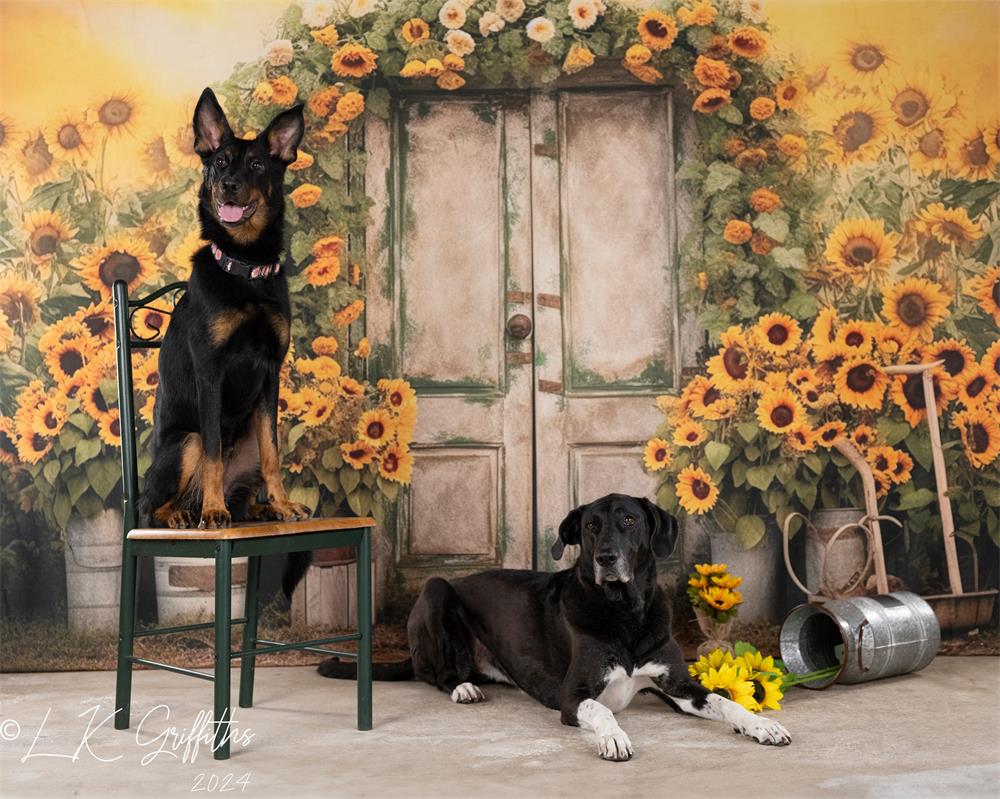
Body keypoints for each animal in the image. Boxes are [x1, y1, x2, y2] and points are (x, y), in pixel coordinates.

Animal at [141, 89, 310, 532]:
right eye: (219, 162)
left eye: (256, 165)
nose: (228, 185)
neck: (245, 267)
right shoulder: (210, 372)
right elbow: (214, 454)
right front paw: (213, 511)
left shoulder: (270, 372)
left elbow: (273, 453)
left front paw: (283, 503)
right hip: (186, 442)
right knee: (153, 505)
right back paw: (189, 513)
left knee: (247, 494)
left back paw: (260, 508)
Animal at [316, 494, 792, 764]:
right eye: (590, 525)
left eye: (630, 521)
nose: (606, 558)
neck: (625, 612)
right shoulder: (572, 694)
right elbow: (601, 710)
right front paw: (614, 738)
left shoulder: (678, 686)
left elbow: (726, 702)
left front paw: (761, 725)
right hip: (435, 589)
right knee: (433, 672)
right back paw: (463, 687)